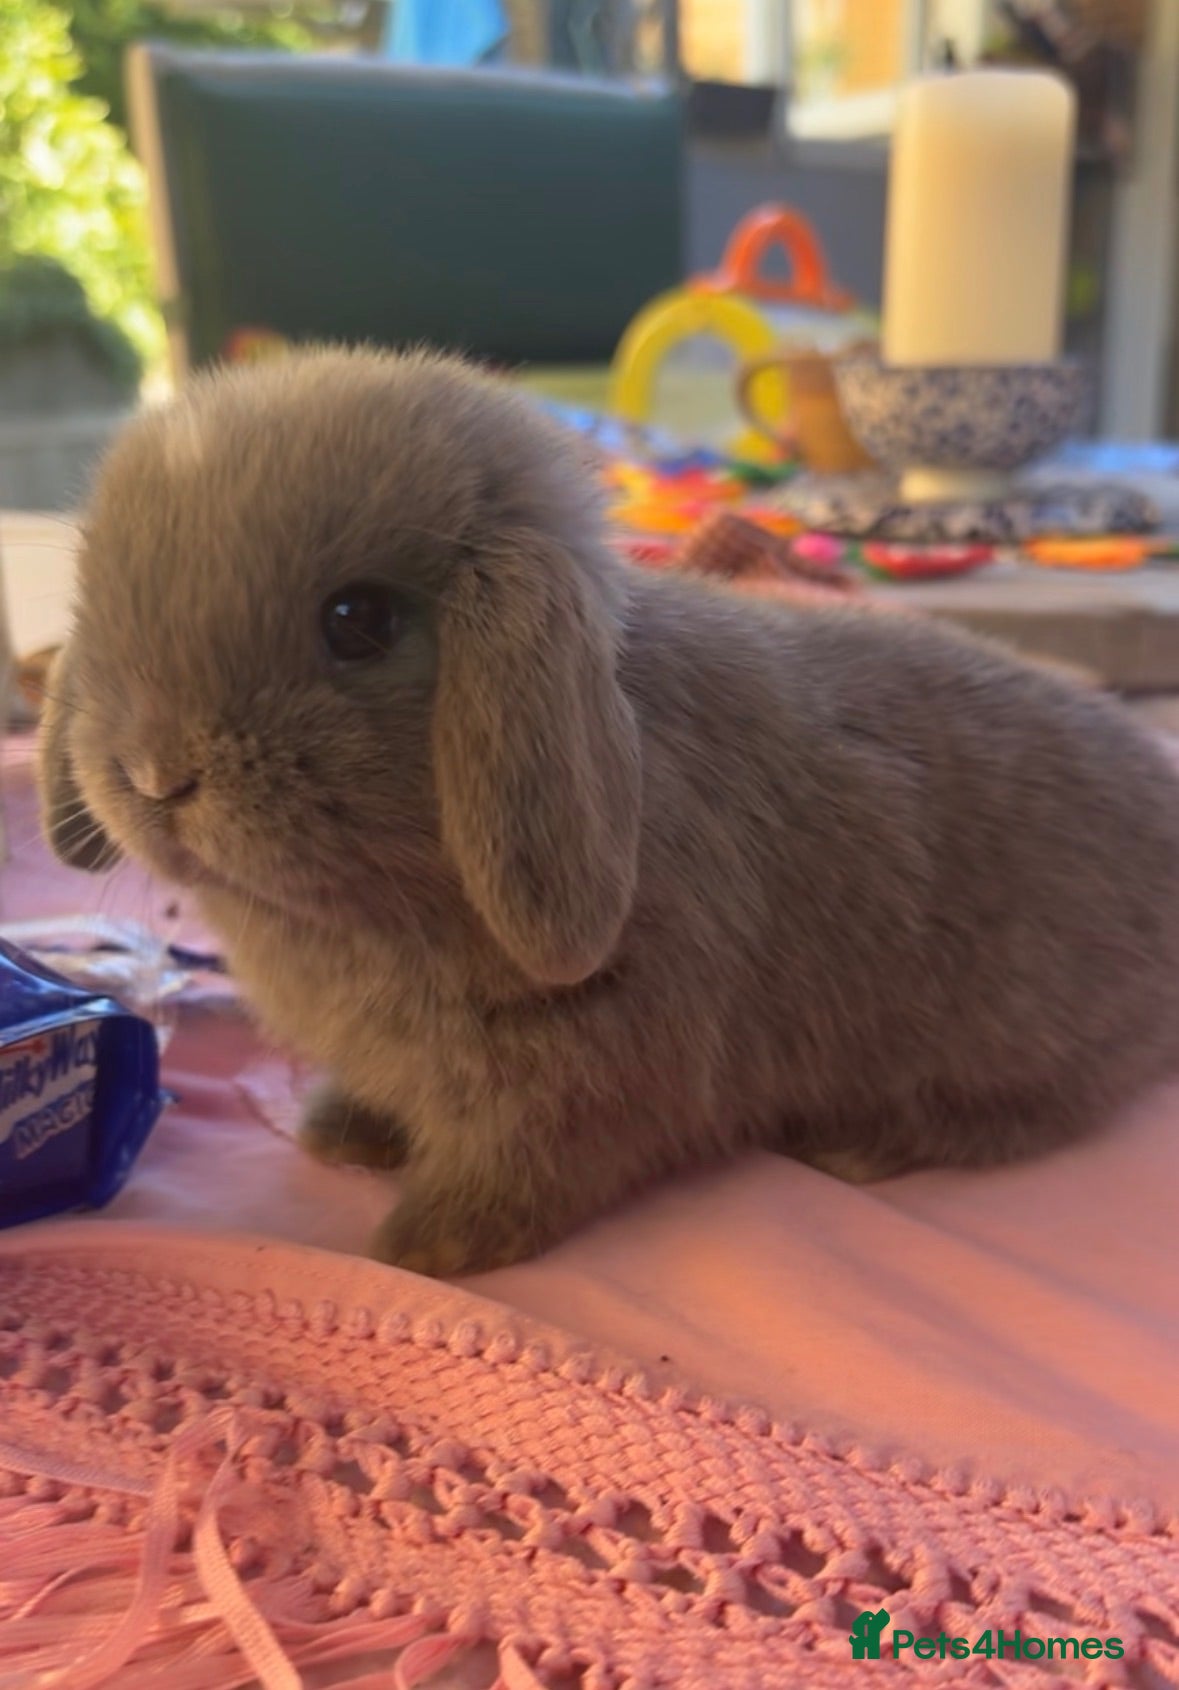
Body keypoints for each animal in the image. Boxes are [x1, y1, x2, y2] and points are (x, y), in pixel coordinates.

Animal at [38, 345, 1179, 1276]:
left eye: (358, 621)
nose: (154, 774)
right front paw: (339, 1131)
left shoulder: (583, 1073)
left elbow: (530, 1164)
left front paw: (425, 1246)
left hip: (1021, 1031)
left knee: (1036, 1113)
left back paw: (857, 1144)